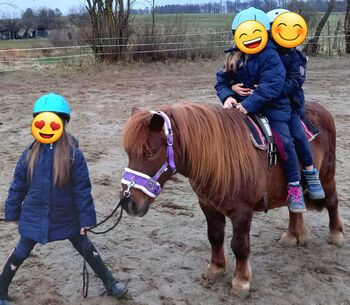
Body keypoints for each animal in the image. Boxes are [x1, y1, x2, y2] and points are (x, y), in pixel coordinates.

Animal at [121, 101, 344, 296]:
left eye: (151, 151)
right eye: (128, 152)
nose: (128, 203)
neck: (222, 156)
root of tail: (321, 109)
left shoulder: (242, 212)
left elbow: (239, 246)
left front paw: (241, 281)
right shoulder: (208, 205)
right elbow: (215, 236)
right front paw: (216, 268)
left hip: (326, 176)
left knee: (332, 202)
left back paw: (336, 234)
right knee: (294, 207)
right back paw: (293, 235)